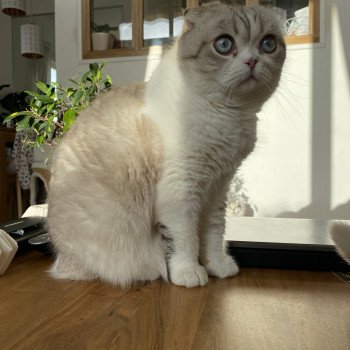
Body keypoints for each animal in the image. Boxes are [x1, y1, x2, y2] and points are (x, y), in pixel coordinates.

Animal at [47, 2, 286, 288]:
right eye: (224, 45)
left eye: (268, 44)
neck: (229, 116)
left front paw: (218, 266)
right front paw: (189, 273)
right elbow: (185, 240)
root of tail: (61, 260)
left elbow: (214, 235)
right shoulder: (181, 191)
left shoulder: (218, 189)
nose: (252, 61)